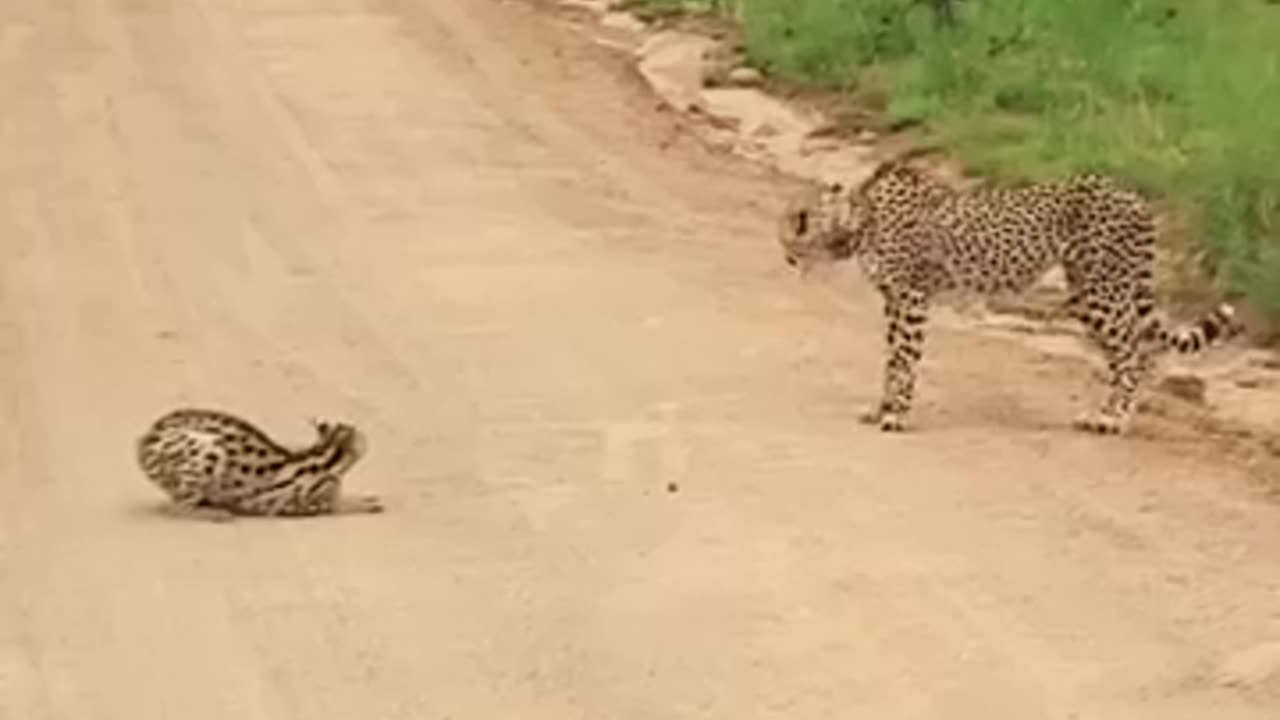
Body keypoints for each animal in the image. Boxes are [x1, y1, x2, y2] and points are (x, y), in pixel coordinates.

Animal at [139, 407, 381, 517]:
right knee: (180, 505)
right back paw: (211, 512)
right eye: (358, 434)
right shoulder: (298, 504)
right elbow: (337, 504)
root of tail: (142, 444)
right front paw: (364, 503)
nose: (365, 434)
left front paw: (365, 498)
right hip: (208, 451)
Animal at [773, 158, 1244, 435]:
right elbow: (892, 359)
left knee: (1134, 353)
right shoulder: (894, 300)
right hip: (1091, 292)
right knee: (1132, 351)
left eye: (799, 220)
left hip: (1102, 290)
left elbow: (904, 359)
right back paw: (1103, 413)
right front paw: (882, 407)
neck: (861, 219)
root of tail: (1131, 194)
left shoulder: (911, 298)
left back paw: (1114, 419)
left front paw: (896, 414)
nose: (786, 255)